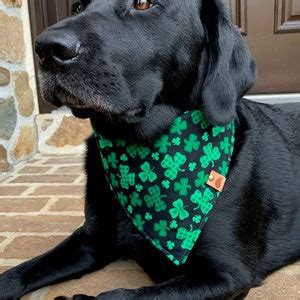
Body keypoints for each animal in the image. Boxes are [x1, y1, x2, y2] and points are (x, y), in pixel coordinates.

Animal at [0, 0, 300, 298]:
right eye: (76, 7)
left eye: (143, 3)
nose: (47, 48)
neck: (144, 154)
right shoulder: (92, 238)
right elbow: (22, 270)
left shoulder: (227, 273)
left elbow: (119, 295)